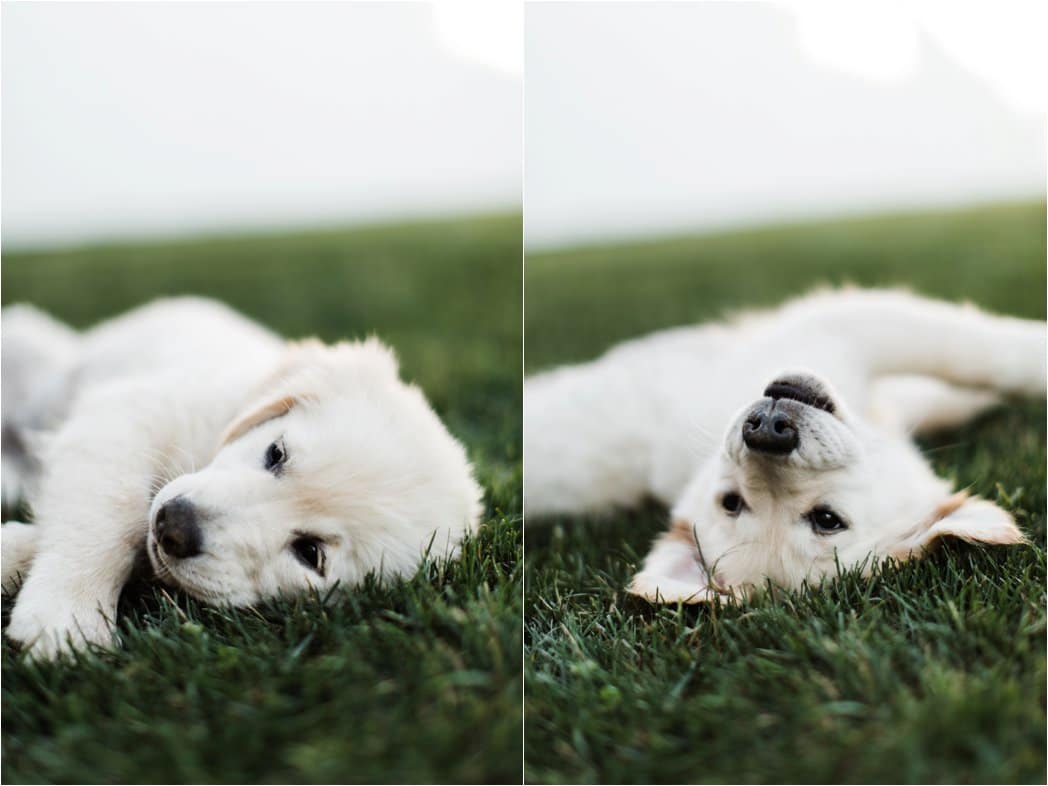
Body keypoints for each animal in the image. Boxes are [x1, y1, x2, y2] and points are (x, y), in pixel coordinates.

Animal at [0, 297, 479, 662]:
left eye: (310, 552)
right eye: (276, 454)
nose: (174, 528)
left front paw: (18, 557)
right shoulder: (131, 413)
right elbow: (111, 516)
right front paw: (67, 614)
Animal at [528, 289, 1043, 603]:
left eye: (826, 519)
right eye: (733, 502)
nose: (767, 429)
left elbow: (959, 380)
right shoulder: (844, 325)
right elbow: (986, 354)